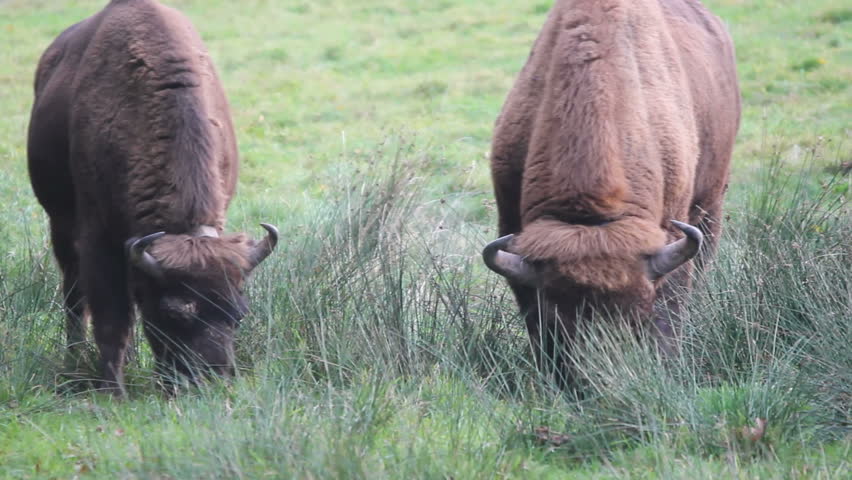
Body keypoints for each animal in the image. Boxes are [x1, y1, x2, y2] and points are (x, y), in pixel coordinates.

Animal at [27, 0, 277, 394]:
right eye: (175, 313)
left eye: (239, 312)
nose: (213, 379)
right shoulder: (99, 238)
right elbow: (111, 318)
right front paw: (114, 392)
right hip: (60, 226)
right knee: (74, 295)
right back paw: (76, 358)